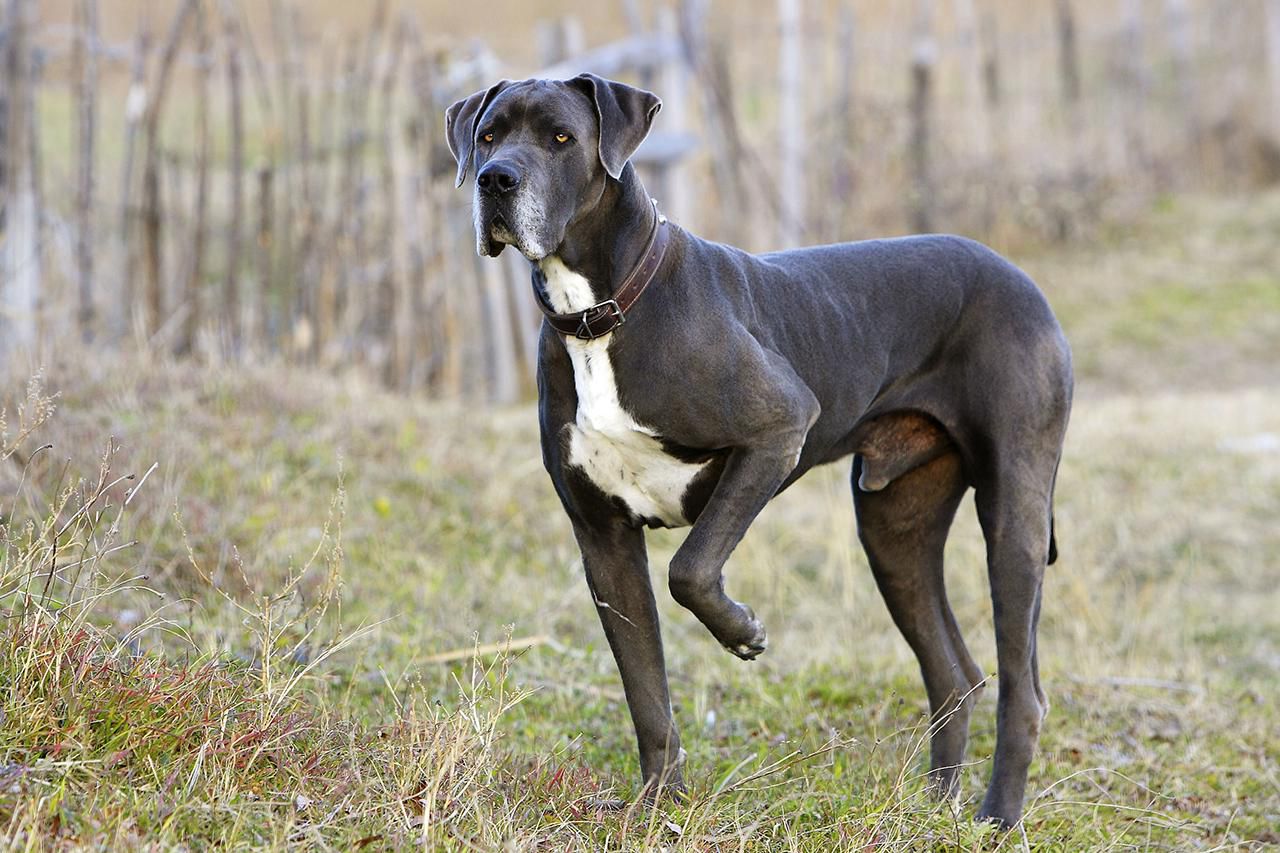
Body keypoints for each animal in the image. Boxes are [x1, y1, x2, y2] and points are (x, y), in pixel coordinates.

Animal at [448, 73, 1070, 824]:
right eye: (488, 135)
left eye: (561, 137)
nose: (494, 179)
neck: (601, 313)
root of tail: (1020, 276)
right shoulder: (604, 540)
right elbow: (646, 692)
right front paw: (658, 810)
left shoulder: (778, 428)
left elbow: (690, 569)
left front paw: (743, 632)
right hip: (893, 527)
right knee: (954, 672)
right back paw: (935, 807)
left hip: (1014, 513)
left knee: (1023, 689)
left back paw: (997, 815)